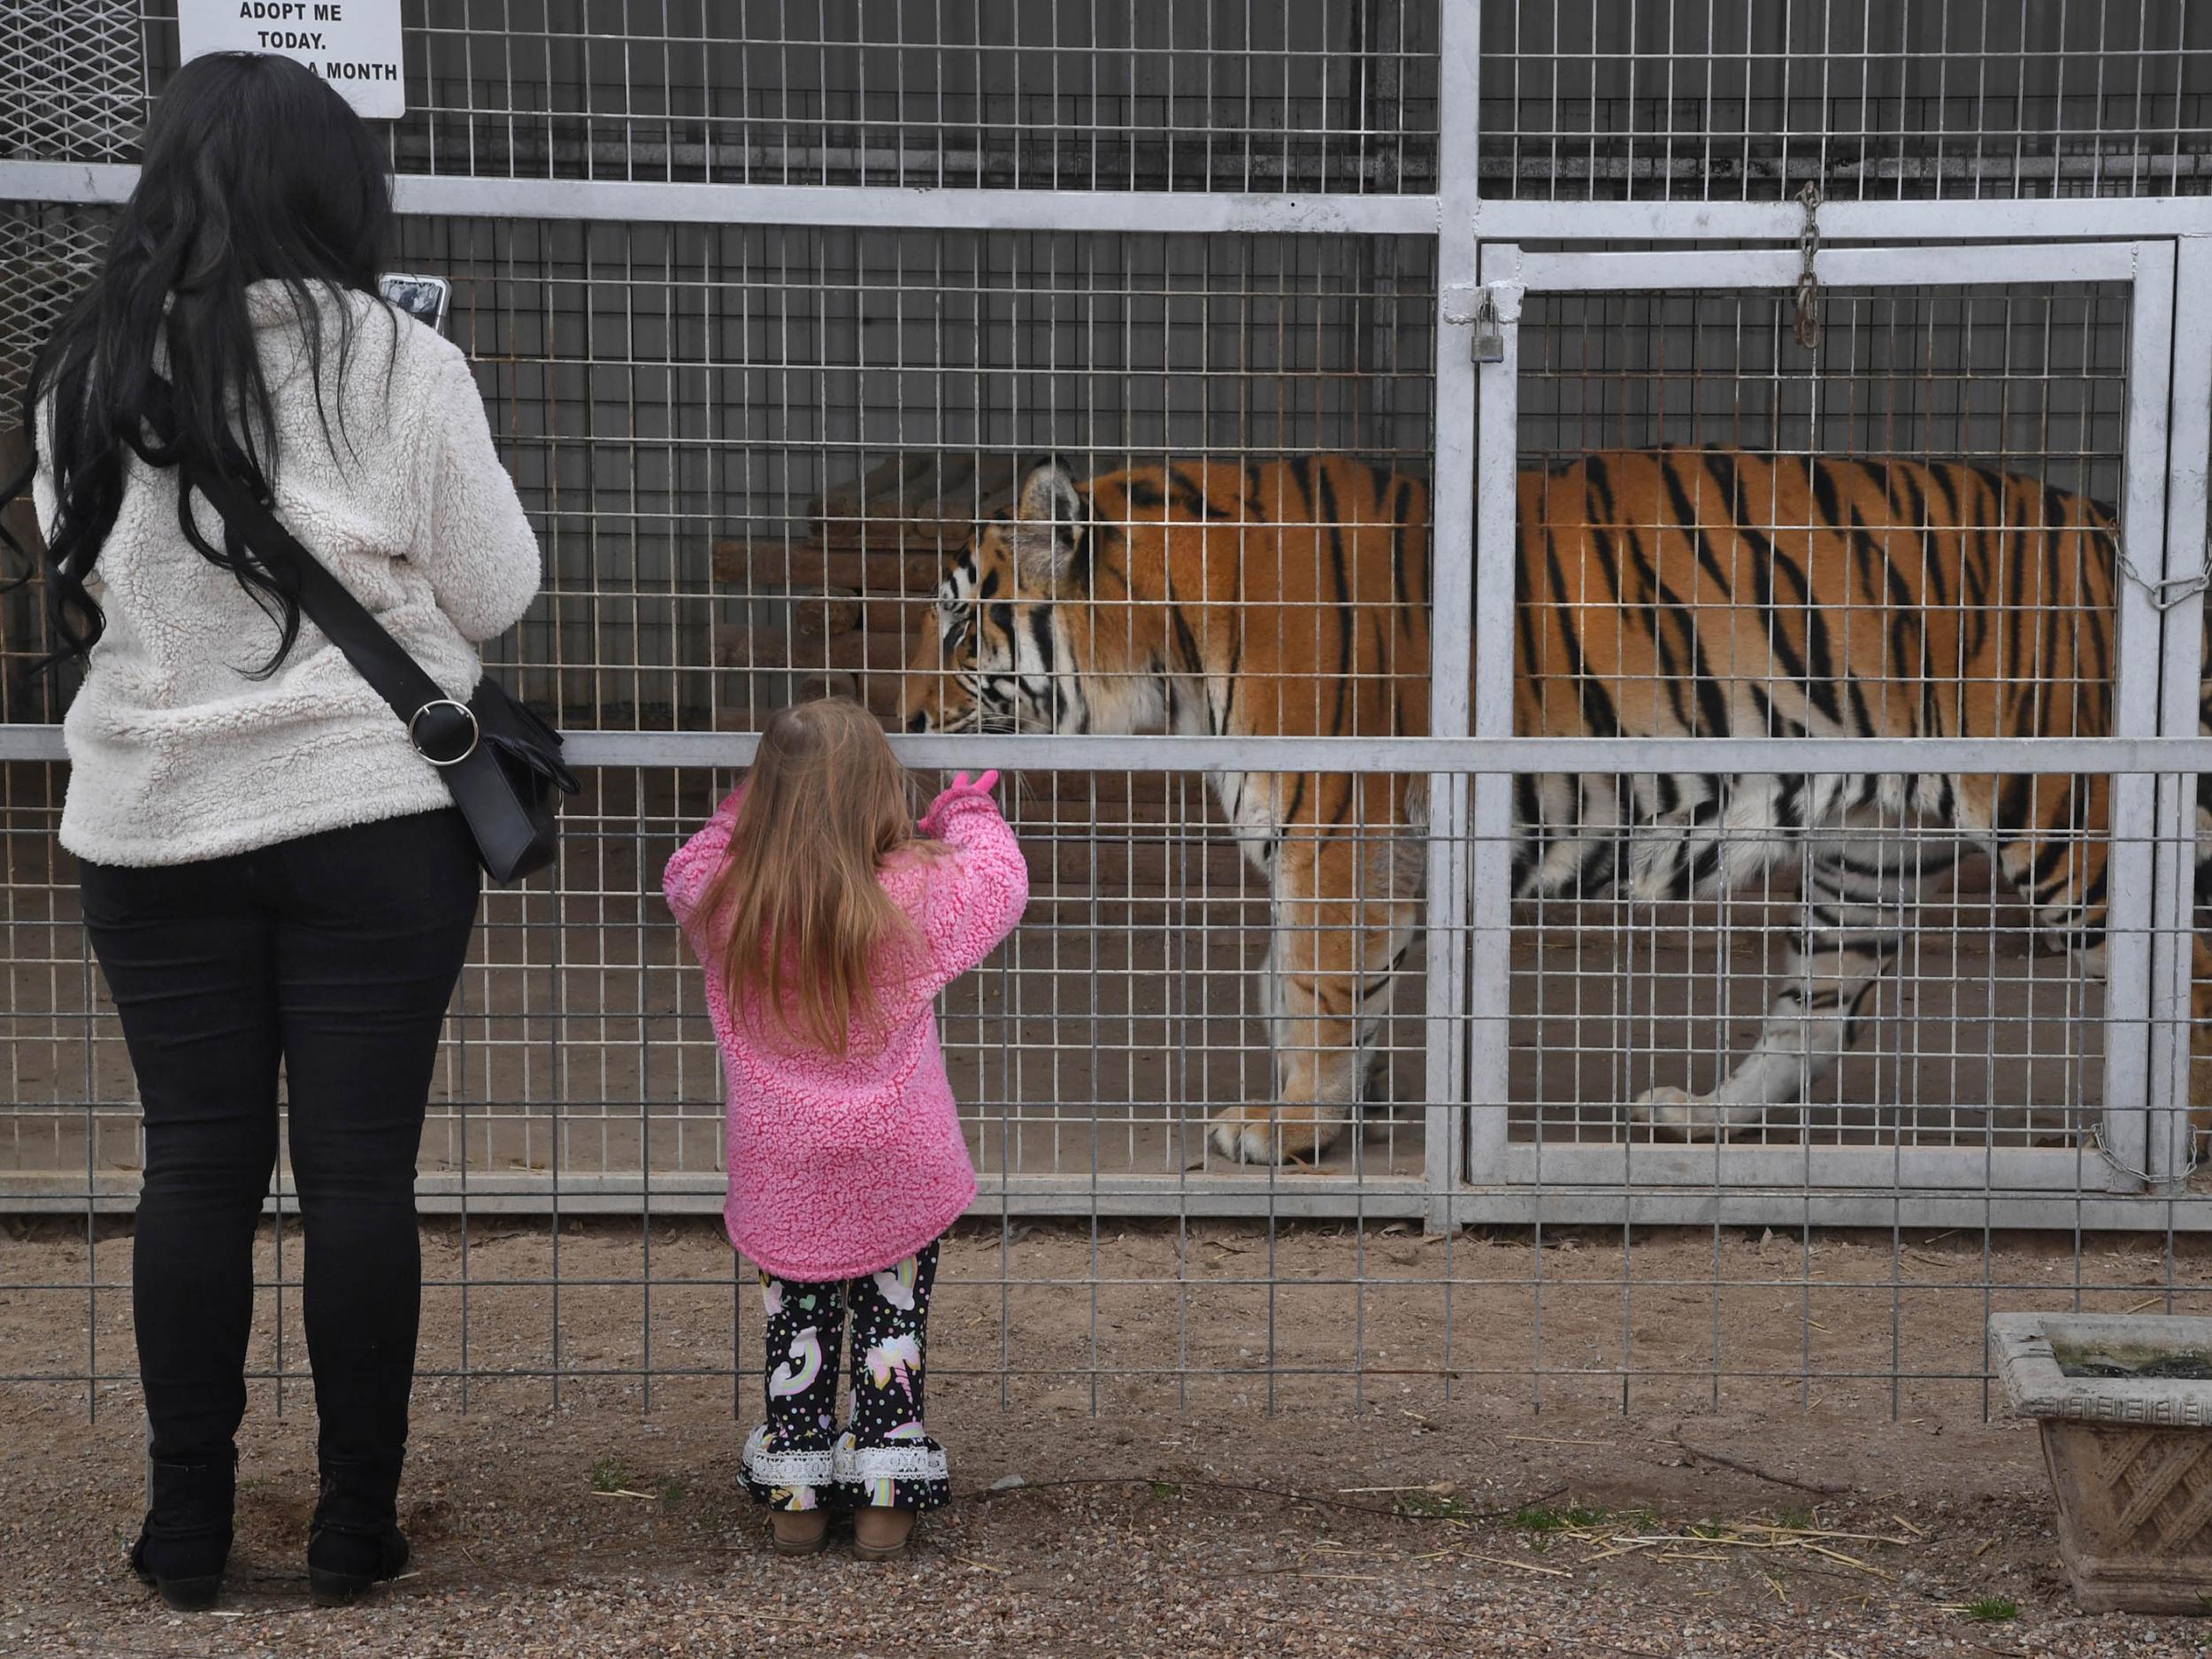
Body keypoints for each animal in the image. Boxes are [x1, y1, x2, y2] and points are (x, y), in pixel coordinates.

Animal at [894, 449, 2212, 1159]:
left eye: (960, 627)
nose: (896, 714)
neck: (1165, 641)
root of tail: (2114, 527)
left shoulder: (1338, 827)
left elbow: (1312, 987)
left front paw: (1292, 1127)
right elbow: (1303, 985)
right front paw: (1350, 1103)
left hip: (2077, 824)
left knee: (2182, 973)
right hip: (1870, 850)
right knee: (1817, 1012)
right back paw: (1700, 1117)